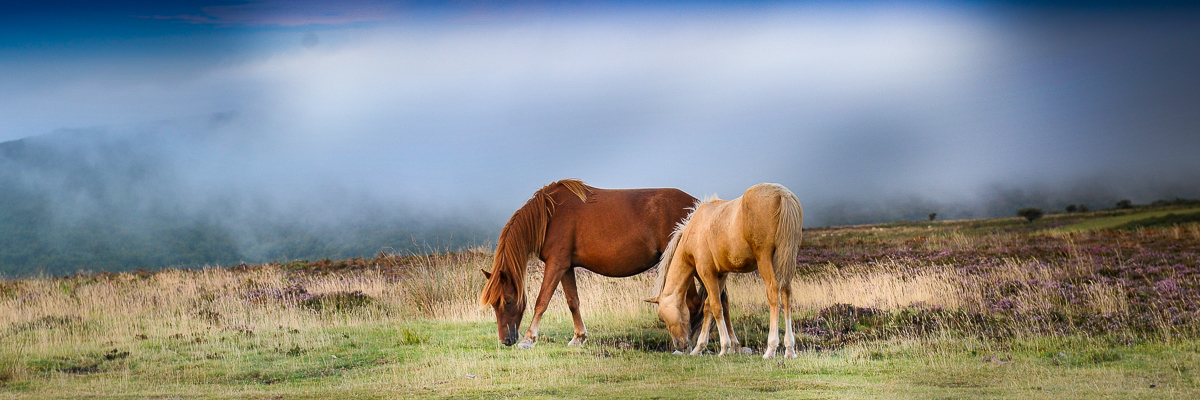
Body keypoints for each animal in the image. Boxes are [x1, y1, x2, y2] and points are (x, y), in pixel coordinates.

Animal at [477, 178, 700, 348]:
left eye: (507, 301)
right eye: (494, 304)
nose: (505, 340)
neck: (549, 215)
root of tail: (697, 203)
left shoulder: (556, 264)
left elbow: (542, 301)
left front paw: (529, 339)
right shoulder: (566, 267)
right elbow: (573, 302)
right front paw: (579, 337)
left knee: (693, 301)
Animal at [652, 183, 801, 357]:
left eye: (662, 317)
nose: (679, 346)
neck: (695, 229)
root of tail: (782, 194)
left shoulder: (706, 273)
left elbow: (716, 306)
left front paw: (724, 347)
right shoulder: (720, 275)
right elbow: (710, 306)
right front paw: (700, 348)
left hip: (765, 259)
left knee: (773, 292)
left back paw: (771, 348)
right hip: (786, 259)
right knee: (786, 293)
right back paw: (789, 349)